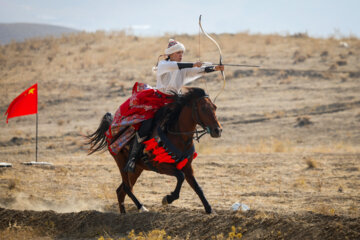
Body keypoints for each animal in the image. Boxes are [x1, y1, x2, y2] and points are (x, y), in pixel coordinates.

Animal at [87, 87, 222, 214]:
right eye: (203, 108)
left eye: (215, 107)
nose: (218, 130)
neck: (178, 137)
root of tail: (110, 129)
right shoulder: (161, 166)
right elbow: (180, 176)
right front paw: (168, 198)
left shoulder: (187, 167)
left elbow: (198, 187)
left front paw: (209, 209)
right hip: (121, 163)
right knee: (126, 188)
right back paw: (142, 207)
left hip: (136, 168)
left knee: (120, 191)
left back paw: (124, 214)